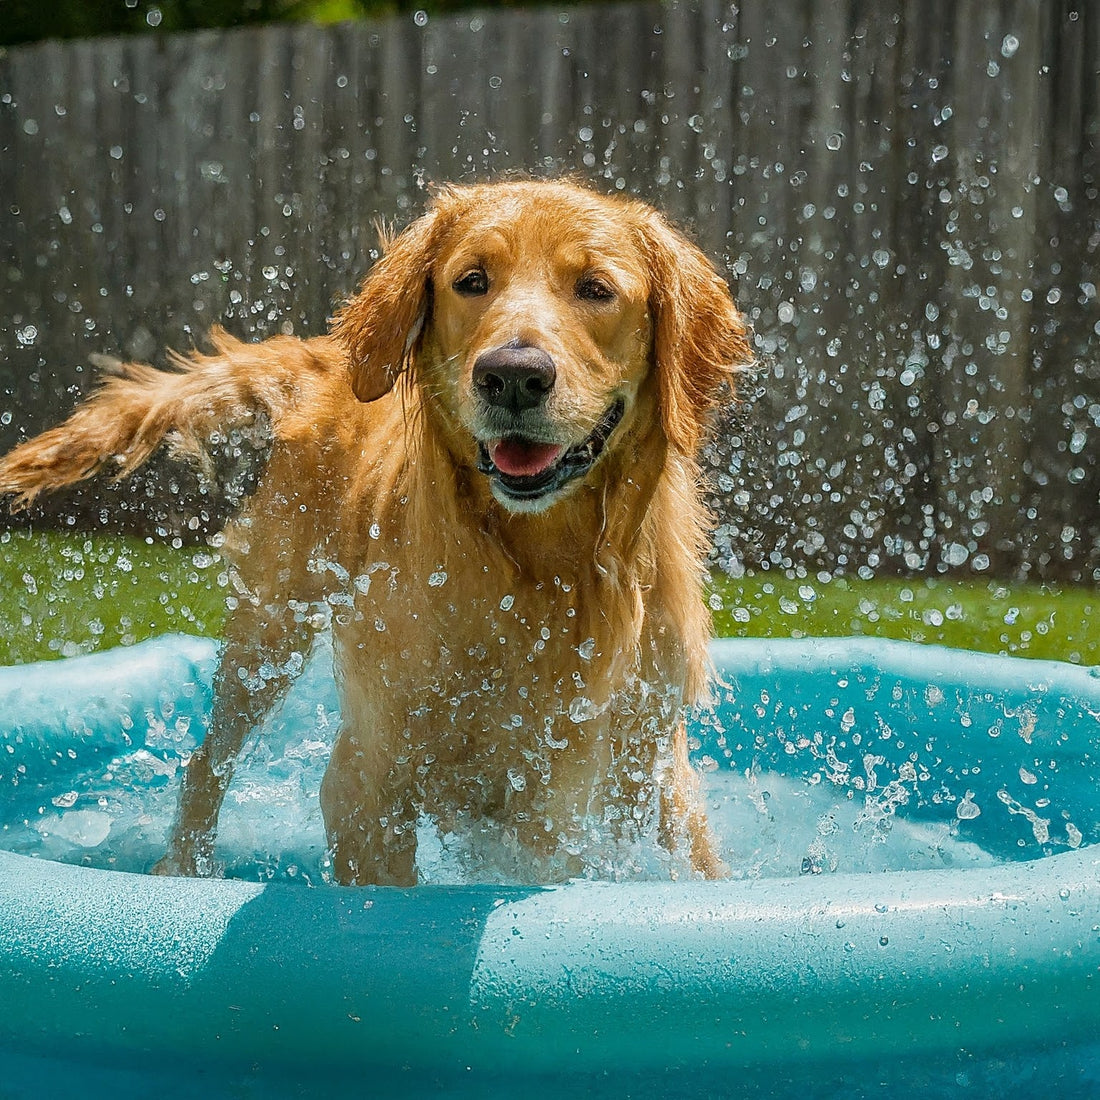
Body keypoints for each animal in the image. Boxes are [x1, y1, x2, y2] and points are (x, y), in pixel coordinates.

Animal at [0, 180, 752, 884]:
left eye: (596, 289)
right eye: (472, 281)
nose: (512, 376)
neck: (542, 568)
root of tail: (329, 358)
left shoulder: (616, 772)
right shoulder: (369, 778)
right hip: (270, 628)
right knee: (209, 758)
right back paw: (183, 868)